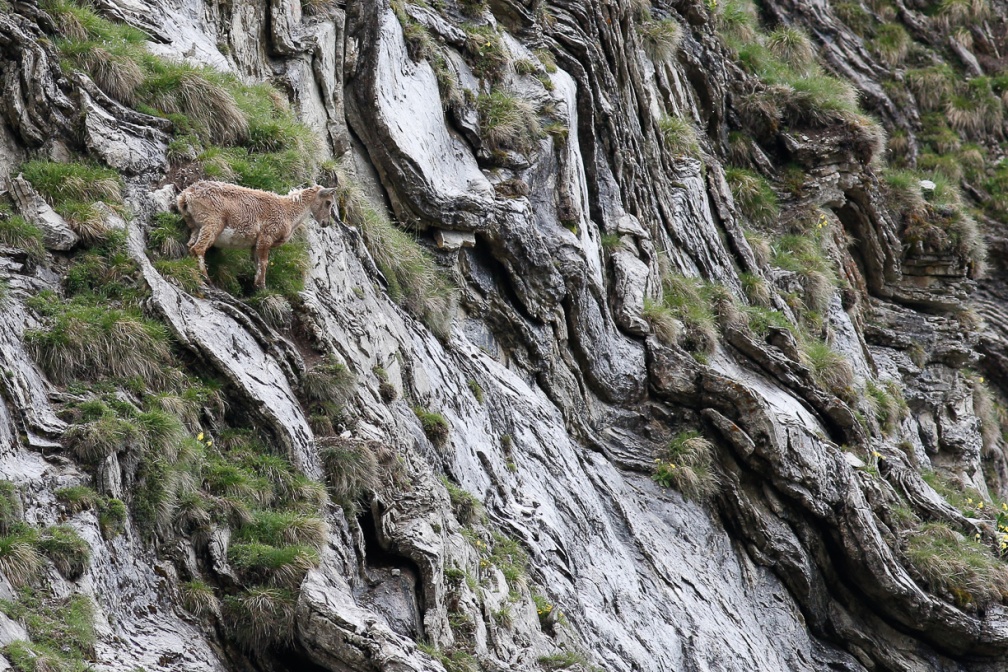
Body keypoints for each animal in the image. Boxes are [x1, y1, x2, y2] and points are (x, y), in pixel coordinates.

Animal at [176, 181, 337, 289]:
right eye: (328, 202)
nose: (325, 223)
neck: (288, 211)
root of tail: (186, 195)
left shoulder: (256, 243)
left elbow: (257, 262)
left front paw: (257, 284)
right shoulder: (267, 236)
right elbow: (264, 262)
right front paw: (262, 286)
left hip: (195, 226)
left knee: (191, 245)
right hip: (212, 222)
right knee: (198, 248)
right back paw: (206, 278)